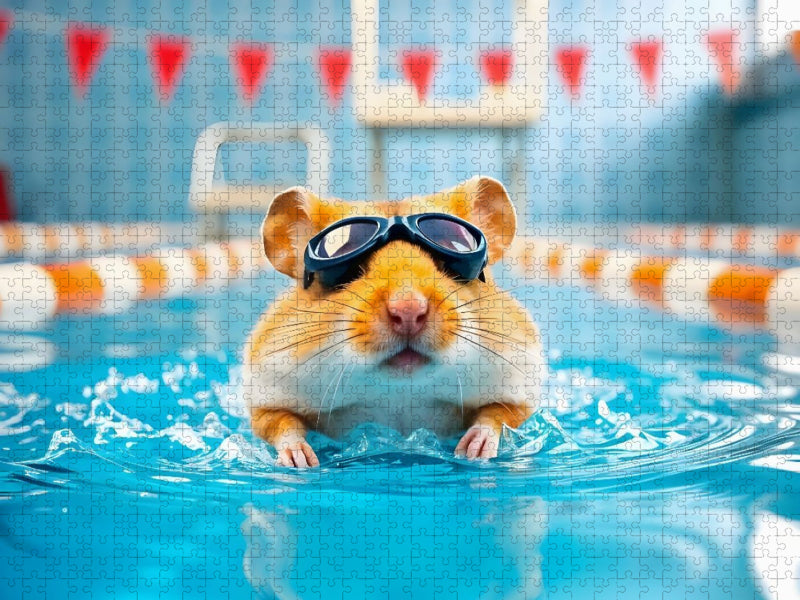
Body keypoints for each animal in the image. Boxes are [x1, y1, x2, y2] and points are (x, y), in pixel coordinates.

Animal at [242, 176, 544, 468]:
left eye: (445, 265)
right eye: (352, 270)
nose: (408, 311)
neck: (399, 393)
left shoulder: (519, 385)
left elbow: (499, 415)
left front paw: (473, 451)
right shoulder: (264, 395)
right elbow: (279, 423)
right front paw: (302, 462)